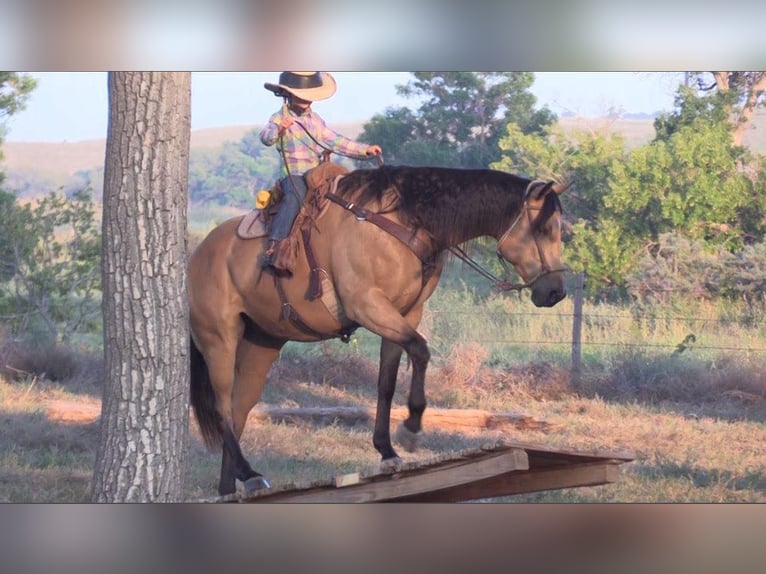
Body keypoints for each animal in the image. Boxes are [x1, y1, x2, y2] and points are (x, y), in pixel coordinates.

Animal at [188, 164, 568, 498]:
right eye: (545, 230)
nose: (556, 292)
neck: (404, 223)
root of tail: (197, 255)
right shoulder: (368, 306)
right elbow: (421, 350)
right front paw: (411, 428)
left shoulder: (404, 314)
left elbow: (386, 382)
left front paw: (387, 451)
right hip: (219, 339)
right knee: (222, 406)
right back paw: (250, 474)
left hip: (262, 343)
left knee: (239, 408)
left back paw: (230, 485)